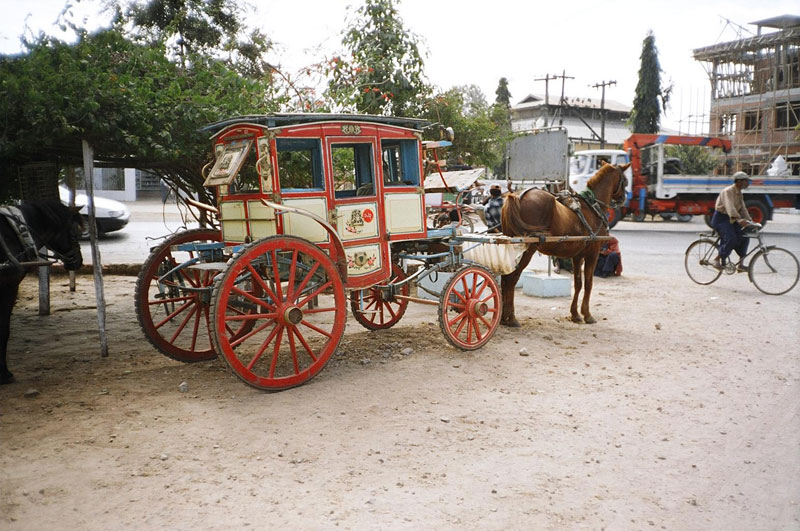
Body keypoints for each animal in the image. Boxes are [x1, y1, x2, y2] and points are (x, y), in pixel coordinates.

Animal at [496, 162, 628, 326]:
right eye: (625, 180)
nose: (624, 198)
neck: (592, 206)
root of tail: (517, 196)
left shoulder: (577, 256)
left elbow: (578, 283)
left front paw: (575, 314)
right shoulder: (593, 253)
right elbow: (589, 283)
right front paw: (587, 314)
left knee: (506, 279)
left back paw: (503, 317)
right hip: (527, 249)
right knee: (512, 278)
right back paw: (511, 317)